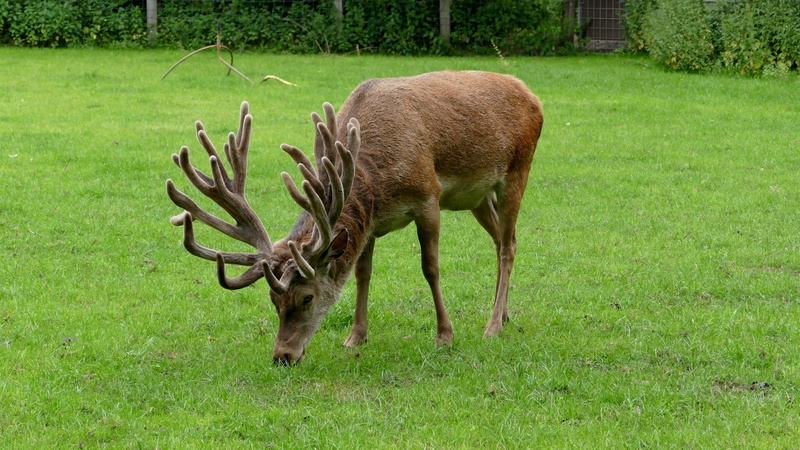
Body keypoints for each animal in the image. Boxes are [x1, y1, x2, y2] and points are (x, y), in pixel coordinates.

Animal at [166, 70, 543, 365]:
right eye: (273, 301)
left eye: (307, 297)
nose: (283, 356)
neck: (375, 179)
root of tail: (531, 94)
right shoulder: (371, 221)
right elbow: (363, 272)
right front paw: (355, 336)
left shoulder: (428, 197)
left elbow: (430, 268)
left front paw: (444, 335)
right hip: (477, 196)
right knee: (502, 239)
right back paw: (503, 313)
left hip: (518, 168)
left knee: (508, 245)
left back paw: (493, 326)